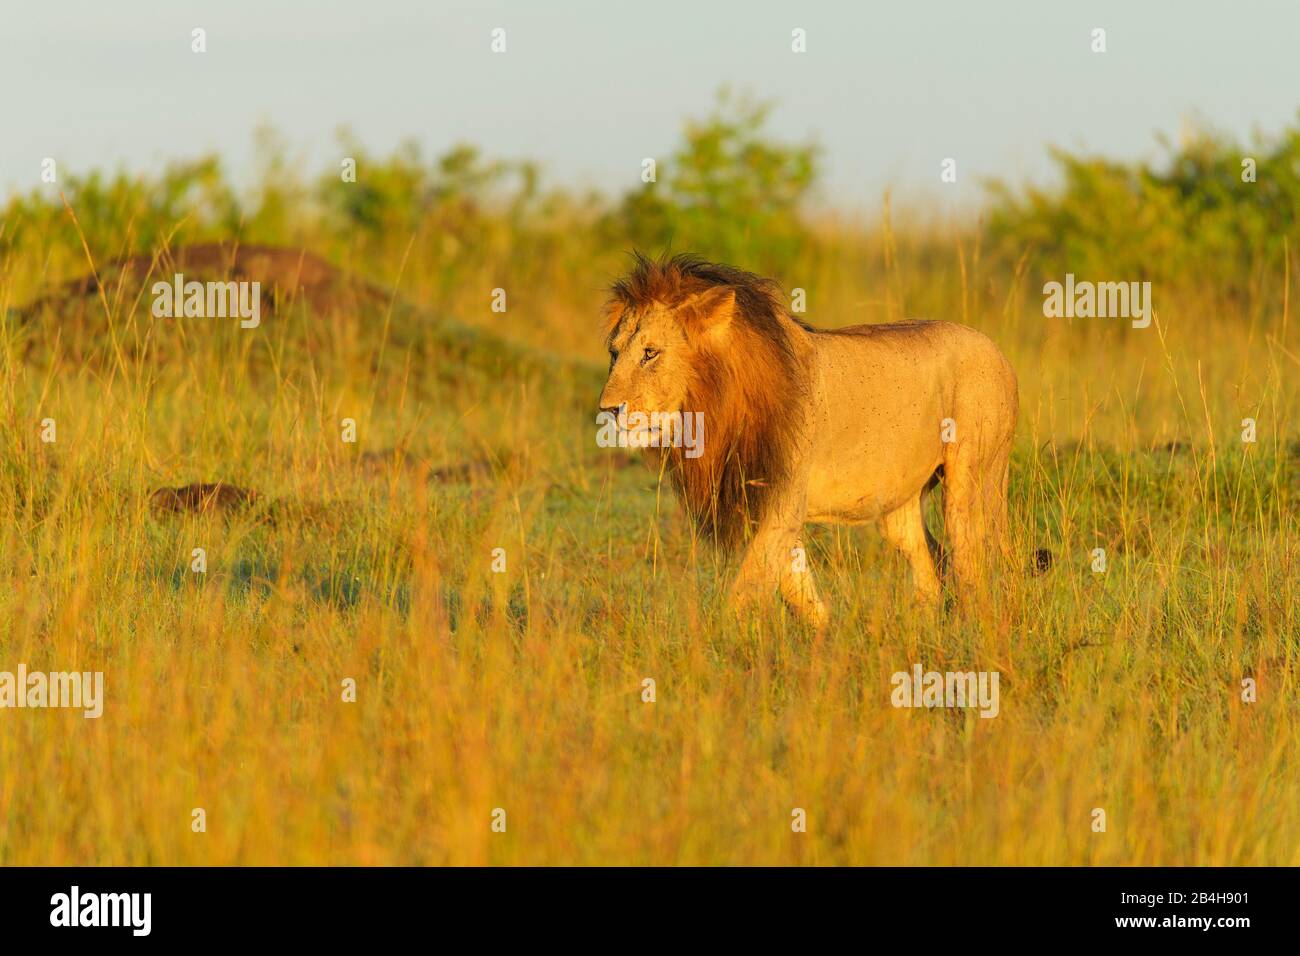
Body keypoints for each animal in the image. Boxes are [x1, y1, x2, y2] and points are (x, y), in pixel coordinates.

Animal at [598, 253, 1021, 629]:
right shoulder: (762, 503)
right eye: (614, 353)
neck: (709, 406)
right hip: (900, 504)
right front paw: (826, 638)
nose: (608, 409)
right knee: (929, 563)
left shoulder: (783, 500)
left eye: (650, 353)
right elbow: (795, 586)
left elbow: (747, 589)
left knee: (970, 561)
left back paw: (971, 631)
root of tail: (998, 351)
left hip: (973, 481)